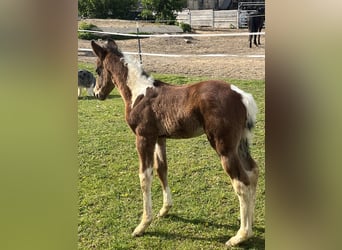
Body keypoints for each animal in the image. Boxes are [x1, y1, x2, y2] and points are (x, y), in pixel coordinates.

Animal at [91, 39, 260, 248]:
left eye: (97, 70)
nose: (96, 93)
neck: (139, 93)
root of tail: (242, 97)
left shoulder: (143, 137)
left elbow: (145, 177)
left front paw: (142, 225)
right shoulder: (159, 138)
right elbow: (161, 169)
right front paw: (165, 209)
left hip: (225, 148)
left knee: (241, 182)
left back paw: (240, 236)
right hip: (241, 144)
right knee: (253, 172)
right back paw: (250, 225)